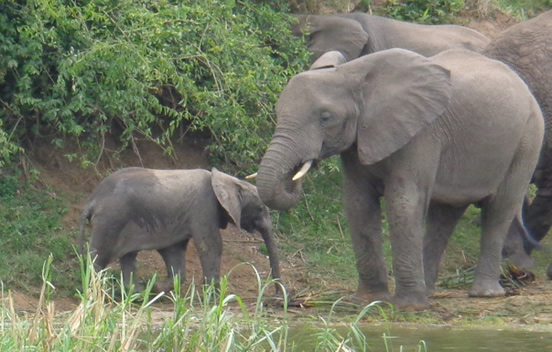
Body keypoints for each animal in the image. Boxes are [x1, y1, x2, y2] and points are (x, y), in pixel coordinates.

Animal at [78, 166, 280, 292]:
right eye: (260, 208)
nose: (278, 297)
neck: (228, 180)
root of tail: (91, 201)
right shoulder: (203, 207)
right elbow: (210, 246)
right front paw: (214, 296)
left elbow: (174, 251)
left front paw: (157, 288)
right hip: (110, 219)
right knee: (99, 257)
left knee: (128, 256)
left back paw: (137, 294)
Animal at [254, 50, 544, 310]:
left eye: (325, 118)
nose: (300, 169)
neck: (351, 74)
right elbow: (359, 203)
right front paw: (367, 301)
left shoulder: (421, 133)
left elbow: (403, 203)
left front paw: (408, 307)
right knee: (444, 216)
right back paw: (429, 291)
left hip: (528, 139)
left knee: (499, 210)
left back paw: (483, 294)